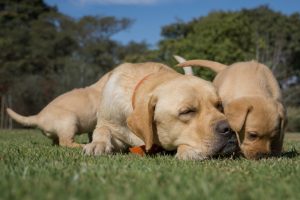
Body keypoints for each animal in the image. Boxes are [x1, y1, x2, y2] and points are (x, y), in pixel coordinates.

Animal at [83, 61, 238, 160]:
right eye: (187, 111)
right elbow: (102, 130)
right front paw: (98, 144)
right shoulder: (114, 127)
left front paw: (188, 150)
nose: (229, 128)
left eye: (219, 105)